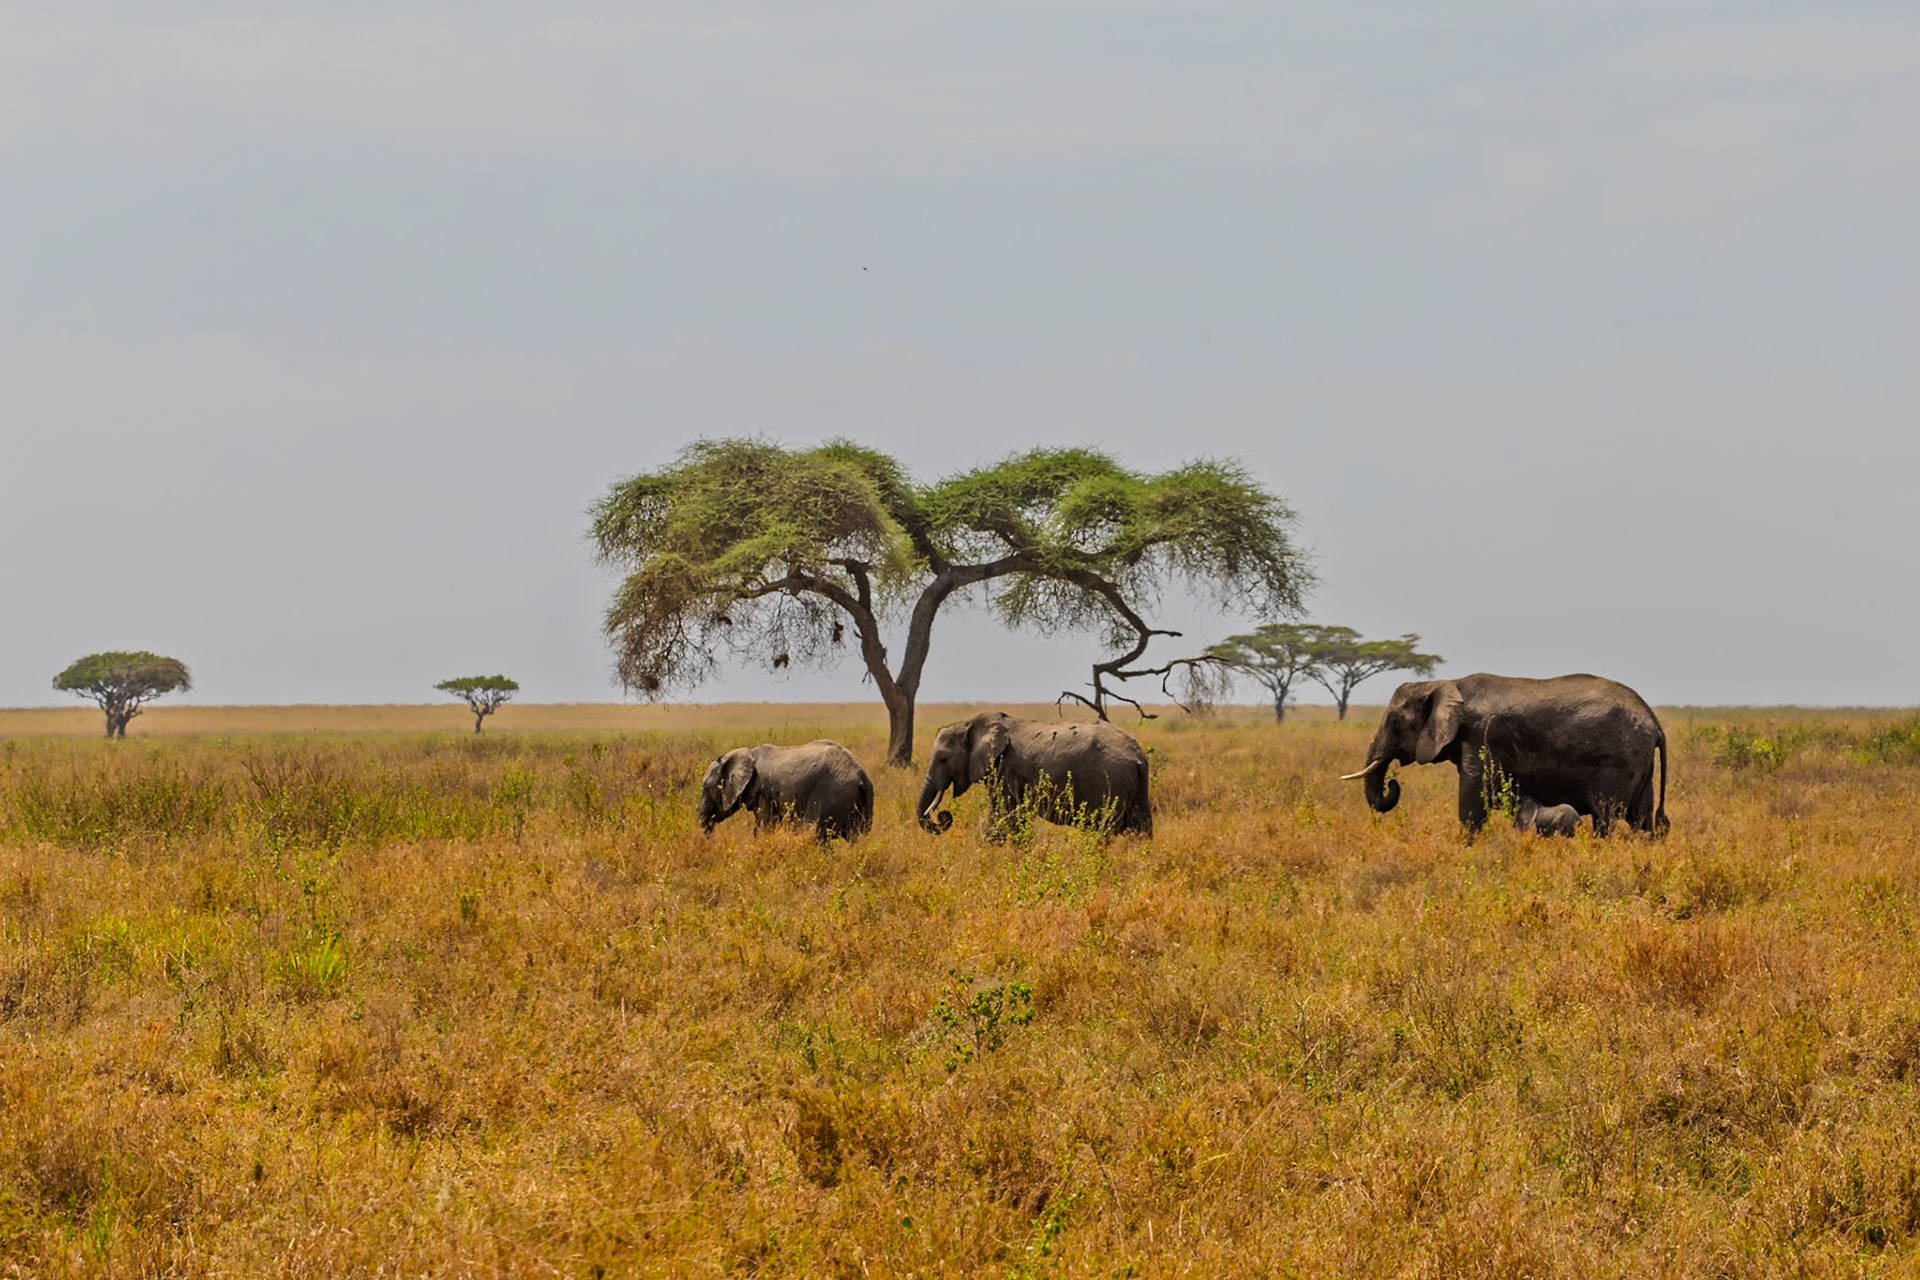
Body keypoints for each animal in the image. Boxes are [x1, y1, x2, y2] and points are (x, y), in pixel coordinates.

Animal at [697, 740, 874, 841]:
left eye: (706, 787)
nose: (711, 839)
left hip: (831, 794)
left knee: (813, 833)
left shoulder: (762, 791)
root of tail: (861, 775)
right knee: (857, 838)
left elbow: (765, 825)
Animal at [916, 711, 1152, 839]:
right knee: (1141, 830)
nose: (943, 815)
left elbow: (1004, 816)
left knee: (1103, 830)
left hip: (1111, 782)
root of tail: (1138, 757)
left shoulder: (1006, 770)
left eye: (943, 759)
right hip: (1138, 786)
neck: (969, 723)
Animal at [1341, 674, 1668, 837]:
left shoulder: (1480, 735)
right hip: (1640, 765)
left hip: (1617, 763)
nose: (1393, 782)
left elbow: (1471, 801)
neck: (1445, 683)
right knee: (1641, 820)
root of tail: (1654, 721)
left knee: (1605, 816)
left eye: (1396, 723)